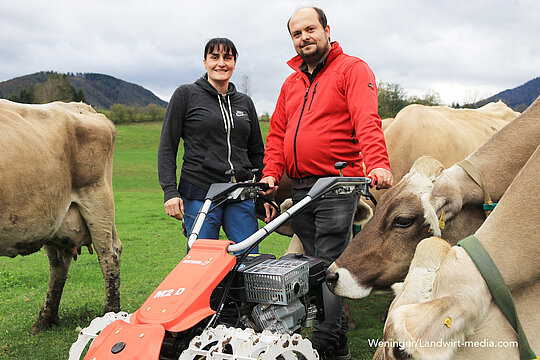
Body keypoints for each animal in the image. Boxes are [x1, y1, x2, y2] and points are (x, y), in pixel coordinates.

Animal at [0, 100, 121, 334]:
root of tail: (80, 106)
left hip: (98, 200)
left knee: (109, 255)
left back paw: (110, 314)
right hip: (54, 218)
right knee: (58, 265)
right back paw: (45, 318)